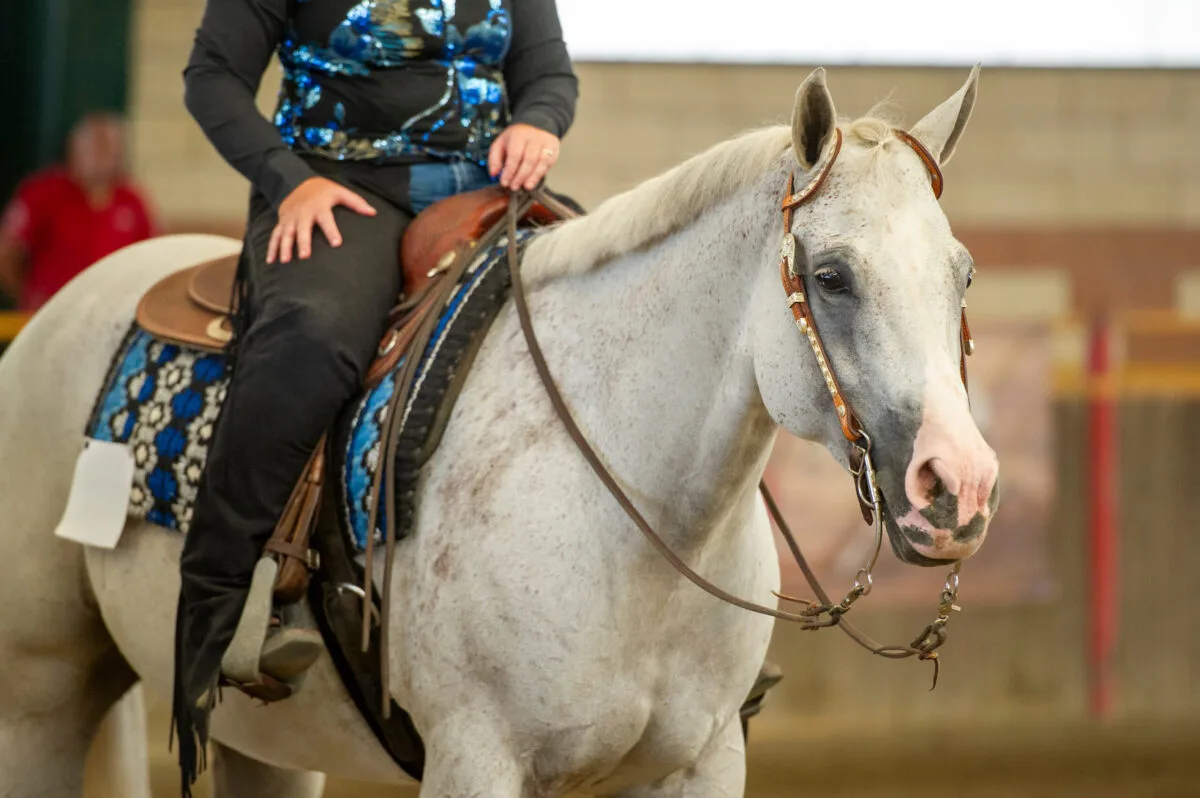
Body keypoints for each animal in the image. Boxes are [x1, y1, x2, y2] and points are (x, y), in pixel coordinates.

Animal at [0, 66, 998, 797]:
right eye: (831, 276)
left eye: (964, 273)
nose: (958, 484)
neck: (643, 525)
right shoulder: (478, 759)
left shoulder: (703, 763)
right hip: (40, 698)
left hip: (266, 743)